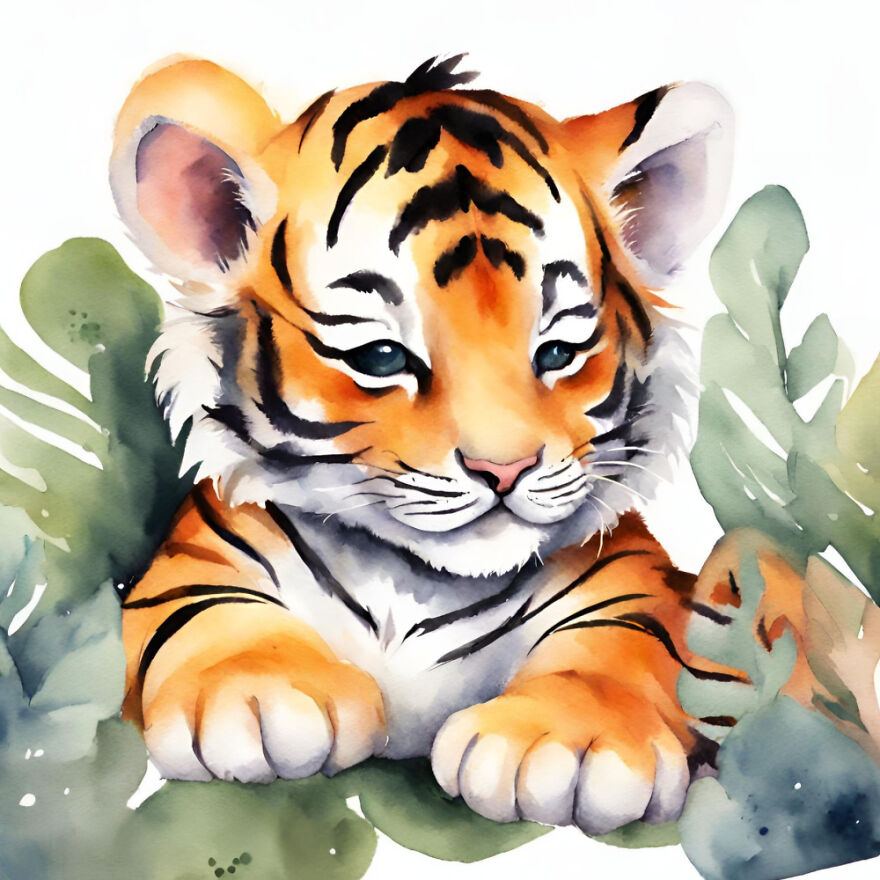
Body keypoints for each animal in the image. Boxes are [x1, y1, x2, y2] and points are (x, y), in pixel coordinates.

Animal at [111, 54, 746, 835]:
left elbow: (625, 641)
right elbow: (204, 613)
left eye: (558, 353)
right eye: (382, 358)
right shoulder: (193, 564)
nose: (504, 468)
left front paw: (569, 741)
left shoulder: (632, 580)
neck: (416, 582)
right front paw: (260, 694)